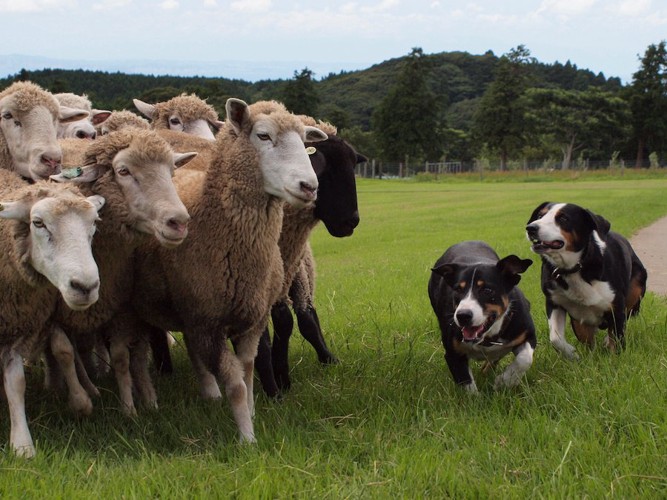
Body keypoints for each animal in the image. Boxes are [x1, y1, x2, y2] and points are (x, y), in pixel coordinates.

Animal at [0, 168, 104, 458]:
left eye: (94, 223)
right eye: (38, 223)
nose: (85, 287)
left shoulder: (18, 325)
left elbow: (16, 382)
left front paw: (22, 444)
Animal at [128, 97, 326, 442]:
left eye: (305, 141)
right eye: (263, 135)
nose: (309, 186)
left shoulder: (250, 318)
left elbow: (247, 372)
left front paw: (251, 411)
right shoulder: (208, 323)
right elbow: (235, 383)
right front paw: (247, 437)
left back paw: (207, 393)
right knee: (138, 354)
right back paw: (149, 400)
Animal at [428, 242, 536, 394]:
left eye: (487, 290)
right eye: (458, 289)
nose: (463, 315)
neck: (487, 338)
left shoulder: (527, 333)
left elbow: (525, 359)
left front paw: (505, 381)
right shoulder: (452, 353)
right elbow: (467, 384)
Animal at [528, 201, 648, 358]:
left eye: (563, 218)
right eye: (540, 215)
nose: (531, 228)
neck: (574, 268)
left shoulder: (616, 306)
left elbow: (617, 339)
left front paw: (615, 357)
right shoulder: (554, 301)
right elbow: (555, 338)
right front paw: (572, 354)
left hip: (637, 287)